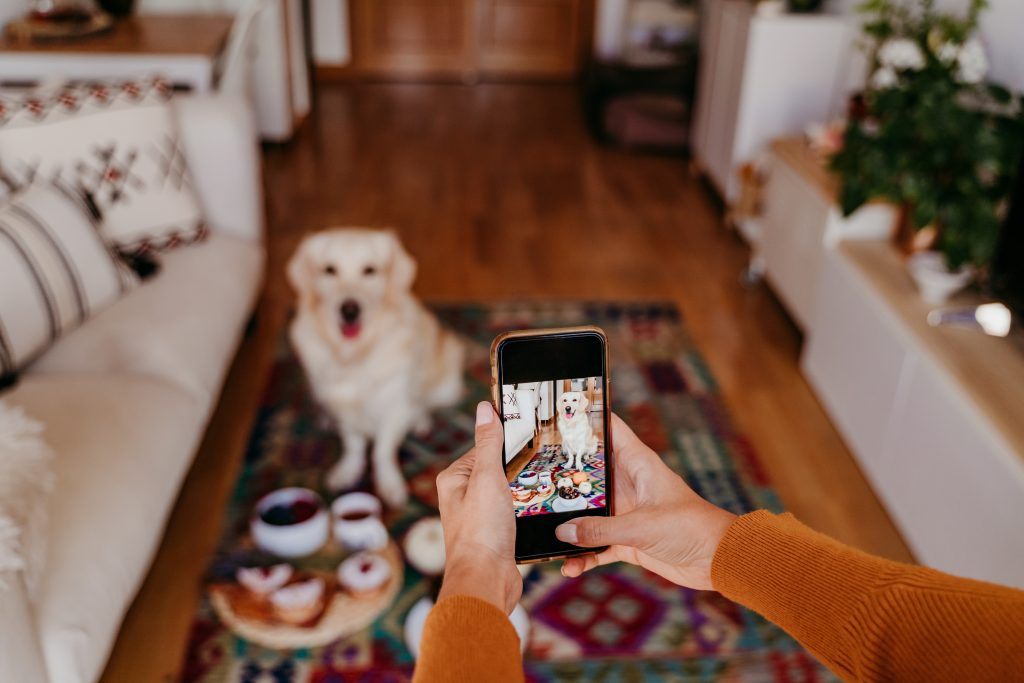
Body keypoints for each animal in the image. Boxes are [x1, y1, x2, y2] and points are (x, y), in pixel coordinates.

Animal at [288, 229, 464, 507]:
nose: (349, 310)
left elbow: (382, 450)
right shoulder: (342, 406)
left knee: (424, 404)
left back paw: (420, 420)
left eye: (369, 270)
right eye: (329, 270)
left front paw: (389, 484)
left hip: (446, 380)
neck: (355, 355)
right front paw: (348, 470)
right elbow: (353, 444)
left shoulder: (395, 407)